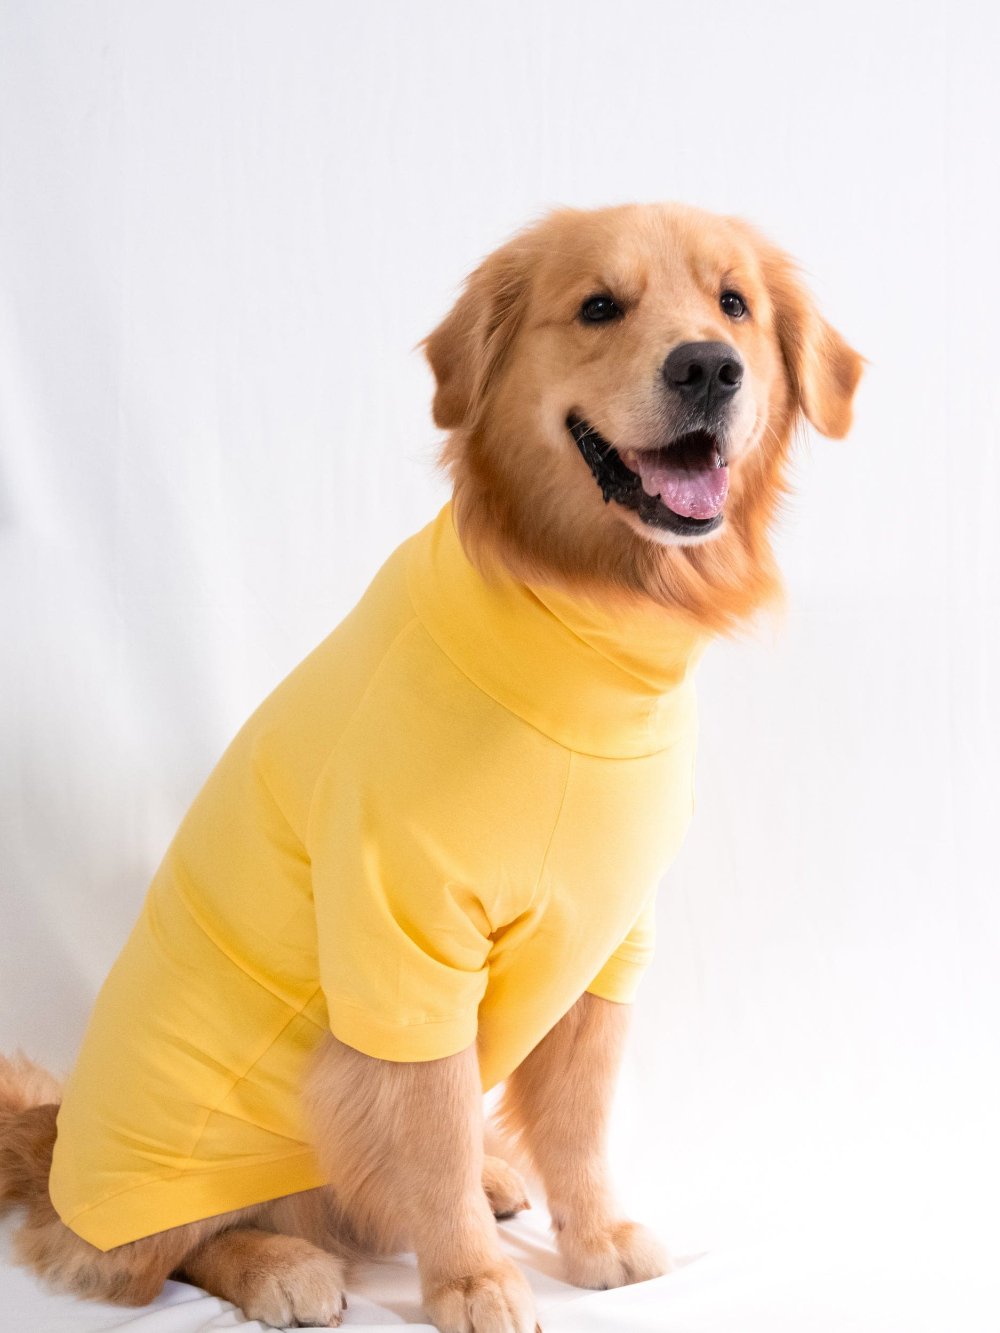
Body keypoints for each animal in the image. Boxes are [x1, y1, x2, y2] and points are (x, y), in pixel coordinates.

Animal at [0, 199, 864, 1333]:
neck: (580, 627)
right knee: (141, 1253)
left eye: (735, 305)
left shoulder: (606, 940)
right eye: (599, 306)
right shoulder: (404, 946)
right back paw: (278, 1263)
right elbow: (437, 1121)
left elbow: (575, 1118)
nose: (708, 368)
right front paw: (469, 1282)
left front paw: (590, 1238)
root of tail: (55, 1144)